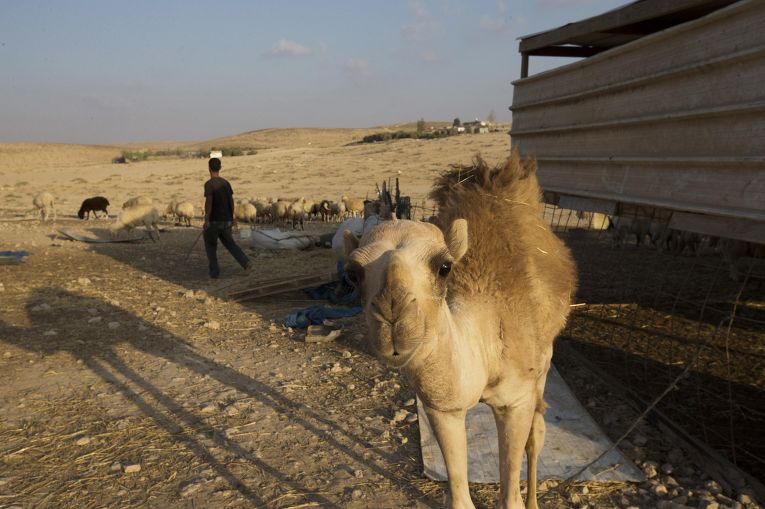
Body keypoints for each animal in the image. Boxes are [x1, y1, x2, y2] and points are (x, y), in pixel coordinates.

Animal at [344, 152, 576, 508]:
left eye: (444, 266)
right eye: (353, 273)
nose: (393, 315)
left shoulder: (516, 400)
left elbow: (511, 495)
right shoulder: (443, 409)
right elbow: (460, 497)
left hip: (545, 357)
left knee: (537, 433)